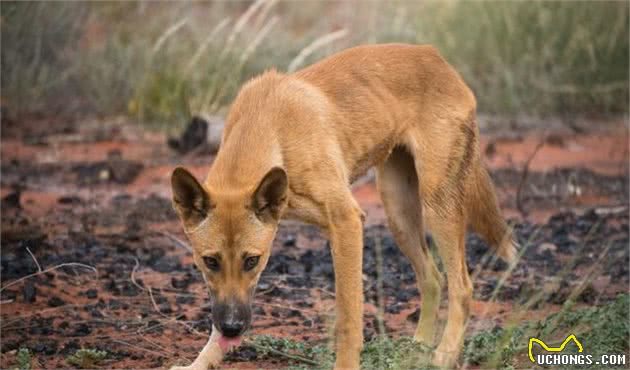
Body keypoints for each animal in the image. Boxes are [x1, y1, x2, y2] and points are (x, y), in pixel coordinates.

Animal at [170, 44, 516, 370]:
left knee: (462, 288)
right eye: (210, 261)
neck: (269, 126)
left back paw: (443, 356)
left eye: (252, 260)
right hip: (398, 213)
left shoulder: (346, 221)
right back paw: (417, 349)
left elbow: (348, 318)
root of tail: (436, 57)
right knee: (433, 279)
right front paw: (199, 363)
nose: (232, 327)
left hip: (436, 205)